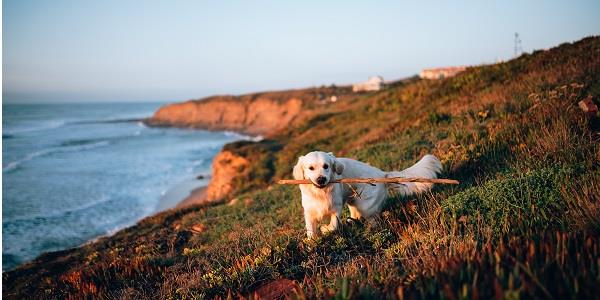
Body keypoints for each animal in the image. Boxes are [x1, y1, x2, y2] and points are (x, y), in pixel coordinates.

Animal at [294, 151, 440, 238]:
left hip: (364, 204)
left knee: (374, 221)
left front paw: (326, 229)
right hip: (353, 200)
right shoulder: (309, 212)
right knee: (356, 215)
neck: (321, 193)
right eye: (311, 168)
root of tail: (382, 174)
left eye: (326, 166)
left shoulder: (336, 208)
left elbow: (334, 225)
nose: (321, 179)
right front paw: (312, 243)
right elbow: (310, 230)